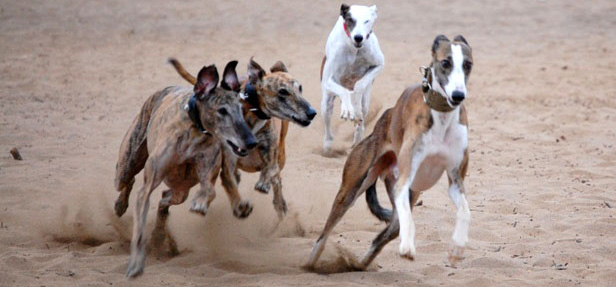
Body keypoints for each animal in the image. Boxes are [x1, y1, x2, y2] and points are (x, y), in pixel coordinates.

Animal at [320, 3, 382, 155]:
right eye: (351, 20)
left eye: (366, 21)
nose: (358, 37)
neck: (355, 49)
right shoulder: (328, 80)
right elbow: (344, 92)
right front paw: (348, 109)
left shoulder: (379, 64)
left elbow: (359, 84)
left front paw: (355, 106)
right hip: (326, 103)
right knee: (328, 127)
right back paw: (327, 146)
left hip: (366, 102)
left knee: (361, 121)